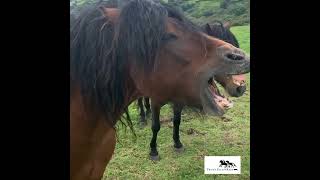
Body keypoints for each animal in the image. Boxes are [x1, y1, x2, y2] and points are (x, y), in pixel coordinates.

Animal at [137, 20, 248, 160]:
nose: (240, 88)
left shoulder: (178, 101)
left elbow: (177, 121)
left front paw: (178, 144)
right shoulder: (156, 101)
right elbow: (156, 126)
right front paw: (153, 151)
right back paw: (142, 118)